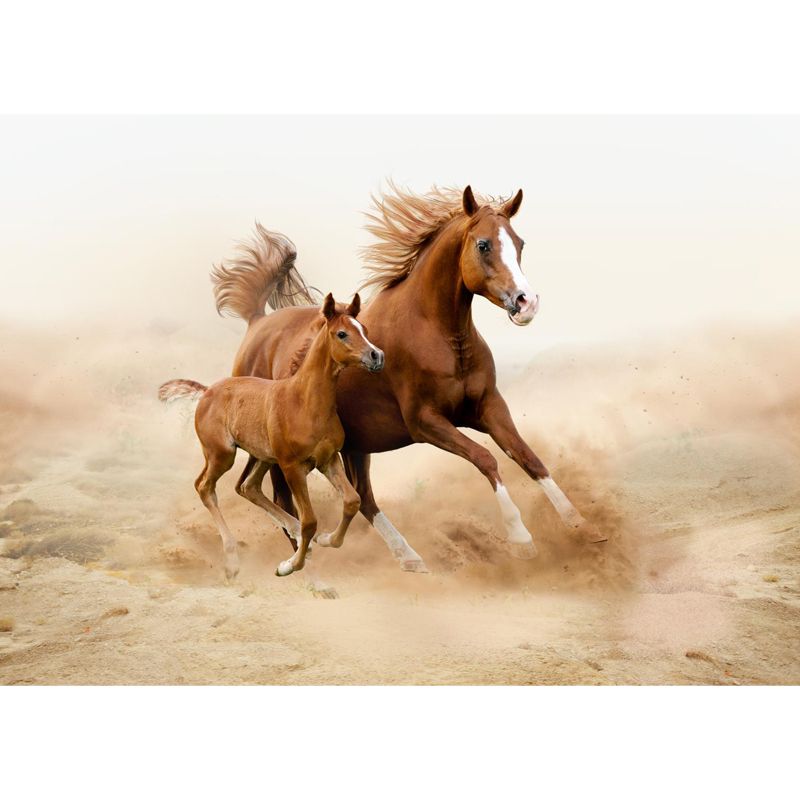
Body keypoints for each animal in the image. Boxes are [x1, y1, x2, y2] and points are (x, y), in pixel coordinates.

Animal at [158, 292, 383, 580]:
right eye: (342, 333)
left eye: (363, 328)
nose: (376, 356)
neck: (305, 402)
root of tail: (207, 391)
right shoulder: (292, 467)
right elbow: (310, 520)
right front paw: (289, 565)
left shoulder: (328, 460)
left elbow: (352, 501)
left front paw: (325, 540)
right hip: (222, 455)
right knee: (204, 486)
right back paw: (232, 561)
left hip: (263, 457)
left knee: (248, 487)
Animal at [208, 184, 606, 575]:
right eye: (483, 244)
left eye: (519, 243)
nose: (527, 303)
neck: (439, 334)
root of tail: (257, 322)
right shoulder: (425, 422)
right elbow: (486, 459)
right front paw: (521, 538)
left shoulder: (489, 407)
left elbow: (528, 457)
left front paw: (583, 526)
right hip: (281, 450)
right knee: (278, 496)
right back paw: (305, 564)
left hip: (355, 445)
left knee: (363, 498)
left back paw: (407, 556)